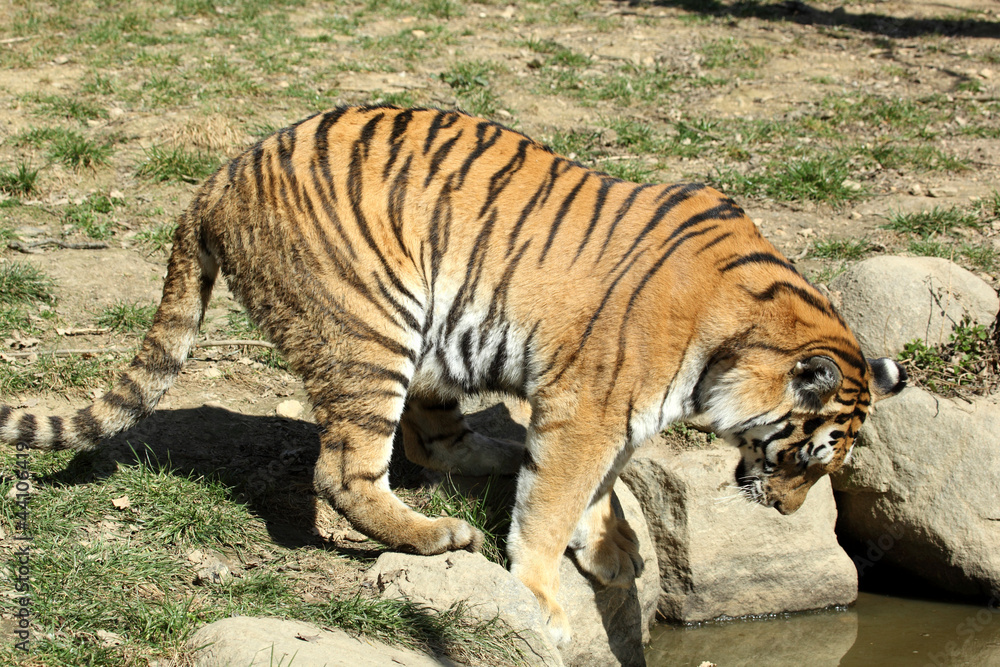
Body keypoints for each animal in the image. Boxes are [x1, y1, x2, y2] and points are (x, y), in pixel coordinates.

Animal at [0, 105, 906, 646]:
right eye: (806, 456)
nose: (785, 510)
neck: (735, 337)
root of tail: (215, 179)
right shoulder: (586, 408)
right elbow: (553, 502)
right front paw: (542, 596)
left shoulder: (605, 416)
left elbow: (596, 489)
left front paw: (610, 549)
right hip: (369, 328)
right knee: (343, 471)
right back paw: (440, 535)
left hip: (431, 341)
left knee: (434, 441)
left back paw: (487, 461)